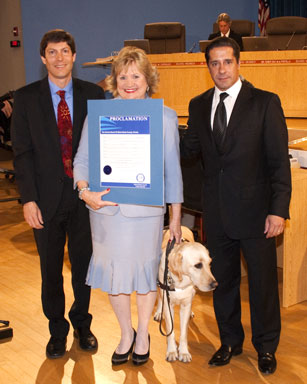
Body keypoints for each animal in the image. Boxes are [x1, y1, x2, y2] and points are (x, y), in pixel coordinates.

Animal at [155, 226, 218, 362]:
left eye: (210, 263)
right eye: (198, 265)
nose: (215, 285)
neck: (180, 282)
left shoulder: (186, 304)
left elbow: (184, 333)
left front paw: (183, 352)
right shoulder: (168, 305)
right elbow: (171, 331)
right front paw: (172, 351)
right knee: (159, 297)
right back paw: (158, 312)